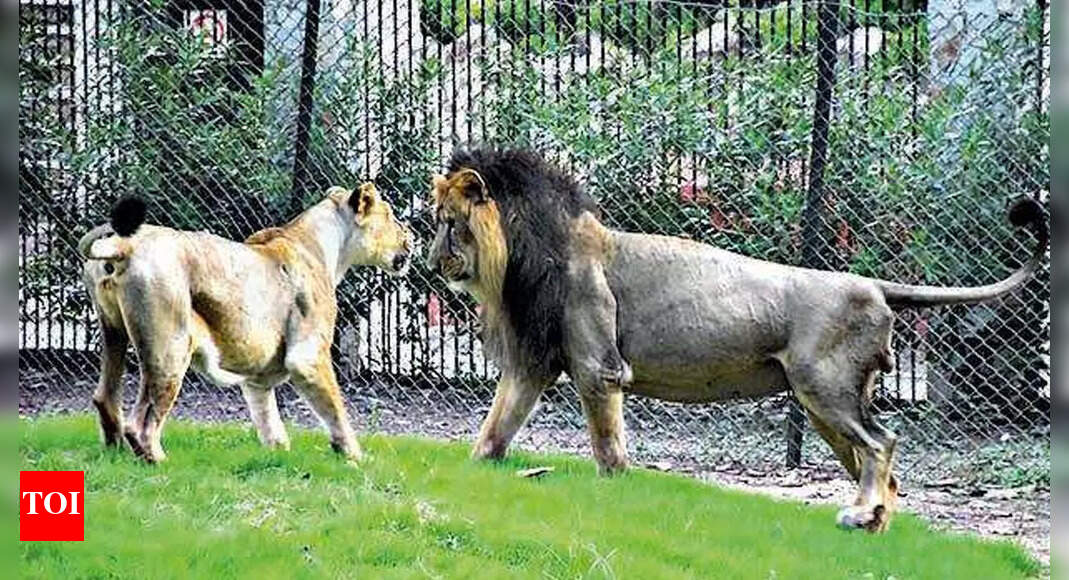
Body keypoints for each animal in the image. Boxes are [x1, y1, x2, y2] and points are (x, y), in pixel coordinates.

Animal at [78, 184, 412, 463]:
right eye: (391, 216)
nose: (412, 238)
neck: (324, 244)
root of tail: (124, 246)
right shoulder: (307, 357)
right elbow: (336, 411)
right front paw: (355, 457)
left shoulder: (257, 378)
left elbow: (268, 418)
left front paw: (278, 454)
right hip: (171, 346)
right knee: (141, 423)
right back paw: (159, 461)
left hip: (113, 333)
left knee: (105, 398)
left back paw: (115, 456)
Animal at [425, 146, 1048, 532]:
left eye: (449, 223)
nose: (432, 262)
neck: (520, 262)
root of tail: (872, 285)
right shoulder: (533, 363)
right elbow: (494, 429)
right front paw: (468, 478)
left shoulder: (599, 365)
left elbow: (605, 445)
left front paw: (616, 491)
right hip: (825, 405)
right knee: (883, 467)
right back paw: (874, 523)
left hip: (825, 390)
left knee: (883, 444)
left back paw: (859, 517)